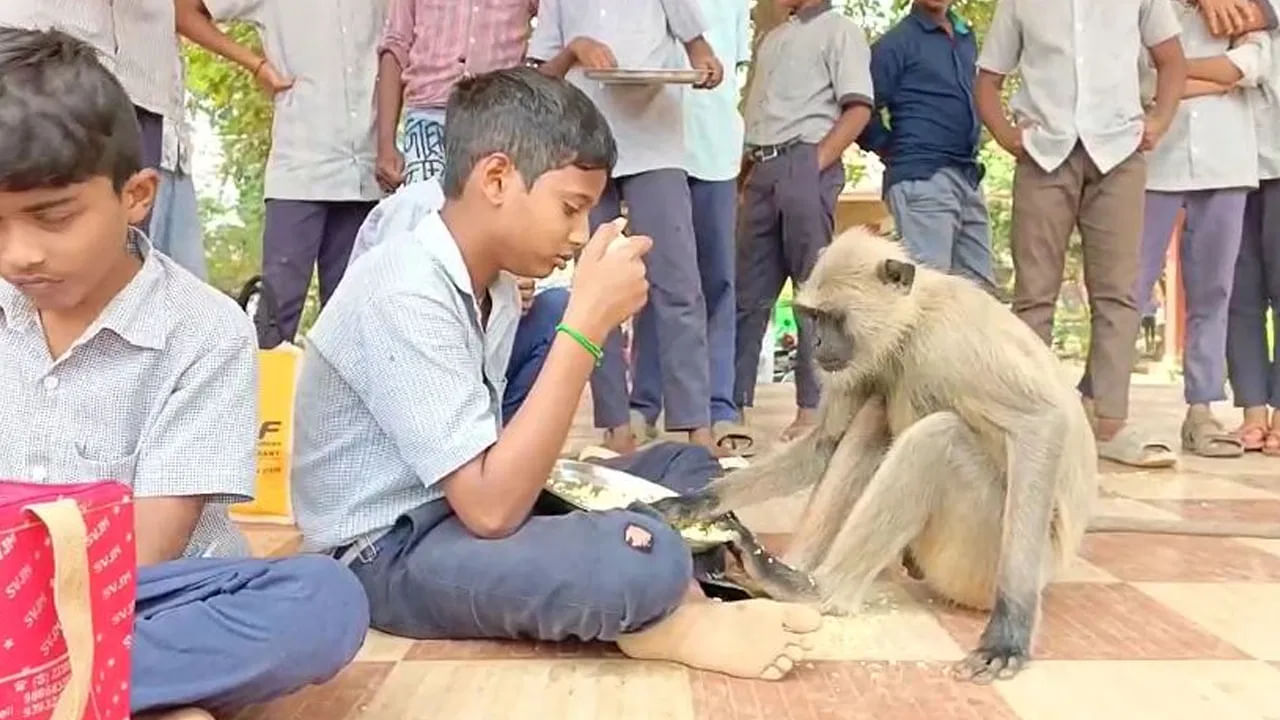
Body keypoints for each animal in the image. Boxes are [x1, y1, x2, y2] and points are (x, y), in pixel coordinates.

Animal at [655, 226, 1280, 681]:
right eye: (811, 319)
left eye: (831, 320)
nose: (817, 347)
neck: (913, 320)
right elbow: (826, 444)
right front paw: (696, 504)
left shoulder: (948, 341)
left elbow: (1041, 424)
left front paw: (1011, 628)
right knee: (877, 416)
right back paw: (785, 574)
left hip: (981, 555)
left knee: (936, 437)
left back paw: (812, 588)